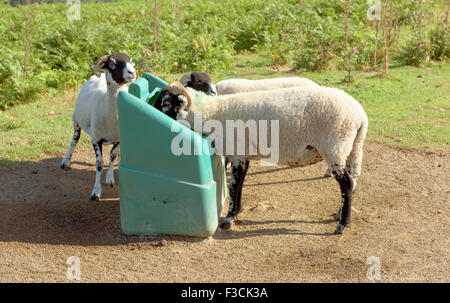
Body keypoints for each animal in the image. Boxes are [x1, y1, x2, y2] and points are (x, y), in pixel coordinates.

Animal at [60, 52, 136, 202]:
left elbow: (113, 156)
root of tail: (95, 77)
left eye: (130, 61)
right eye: (112, 63)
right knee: (74, 140)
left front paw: (109, 179)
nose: (132, 72)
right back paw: (66, 161)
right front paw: (96, 192)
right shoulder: (96, 139)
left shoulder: (119, 139)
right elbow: (99, 165)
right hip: (75, 120)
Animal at [156, 84, 368, 236]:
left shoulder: (237, 153)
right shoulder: (243, 155)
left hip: (335, 146)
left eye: (165, 102)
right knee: (352, 181)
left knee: (346, 183)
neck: (213, 112)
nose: (153, 107)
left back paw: (342, 225)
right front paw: (237, 212)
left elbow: (233, 186)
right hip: (352, 148)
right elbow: (240, 184)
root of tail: (360, 115)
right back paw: (341, 214)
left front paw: (228, 220)